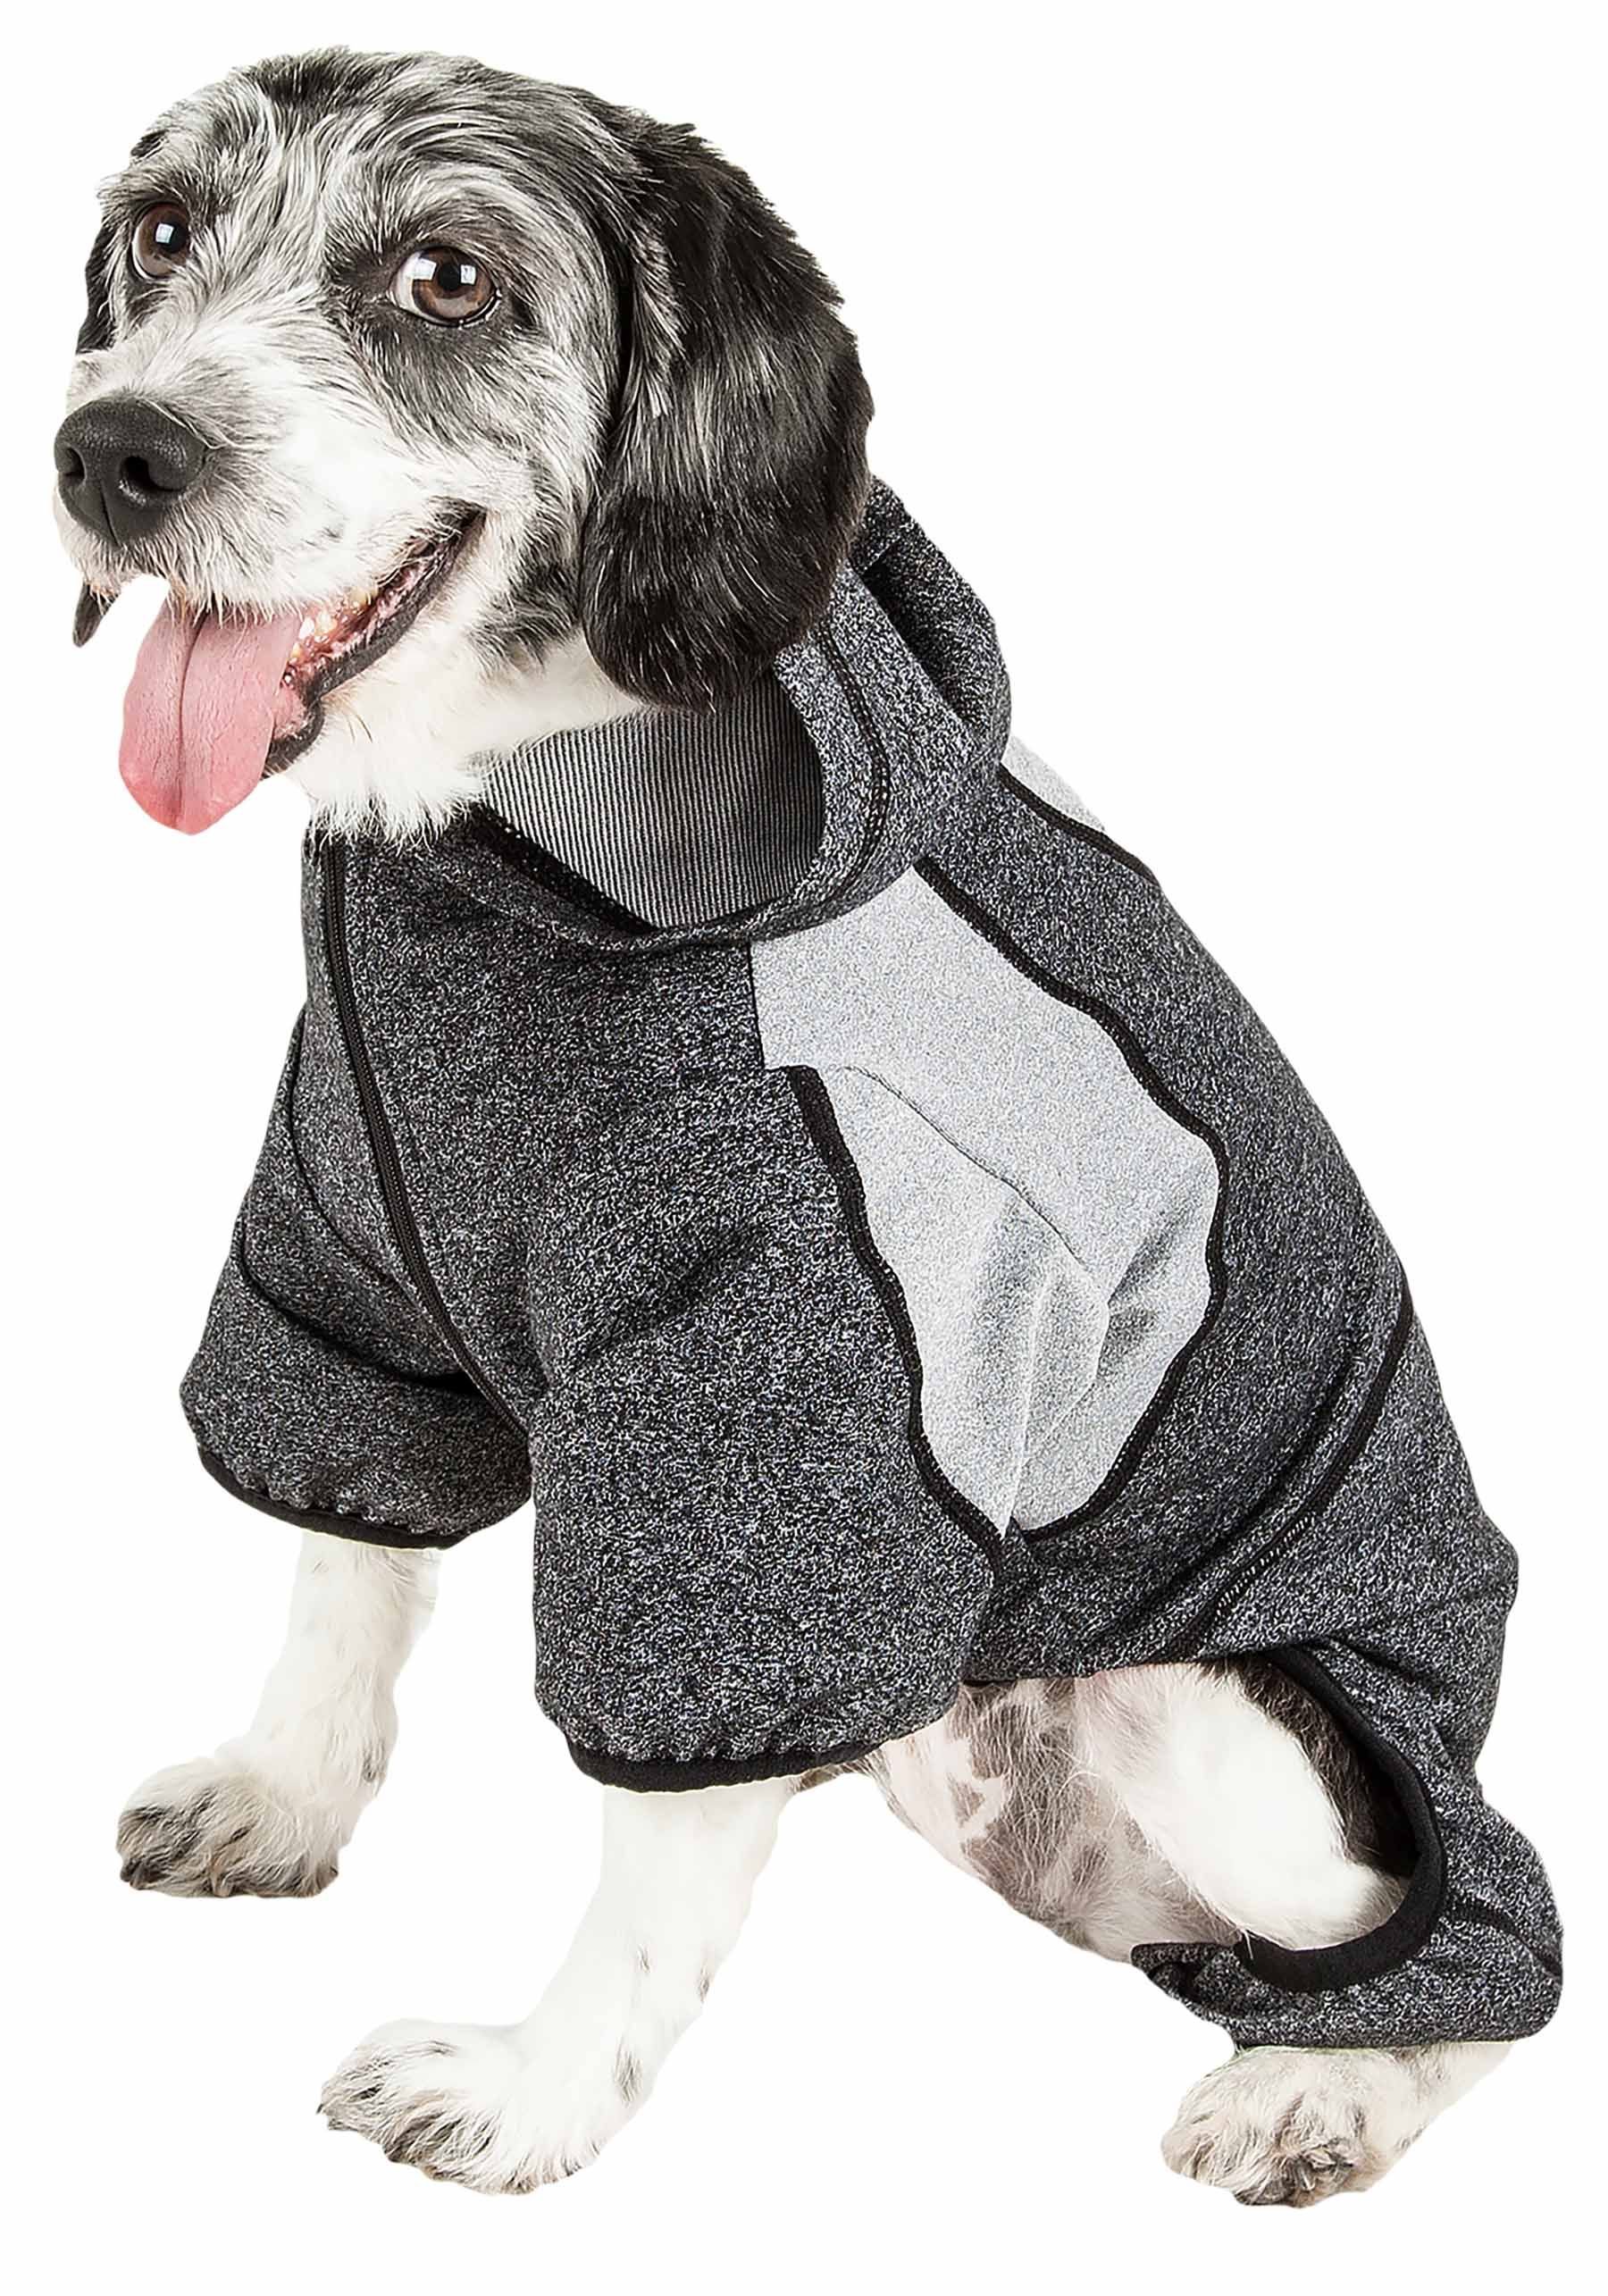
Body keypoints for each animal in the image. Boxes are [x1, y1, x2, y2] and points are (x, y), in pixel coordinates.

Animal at [56, 47, 1558, 2204]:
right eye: (161, 233)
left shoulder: (786, 1384)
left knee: (1483, 1941)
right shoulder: (340, 1258)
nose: (112, 452)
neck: (508, 854)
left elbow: (663, 1821)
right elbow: (343, 1571)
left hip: (1240, 1736)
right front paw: (282, 1795)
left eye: (443, 277)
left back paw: (1322, 2089)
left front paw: (531, 2090)